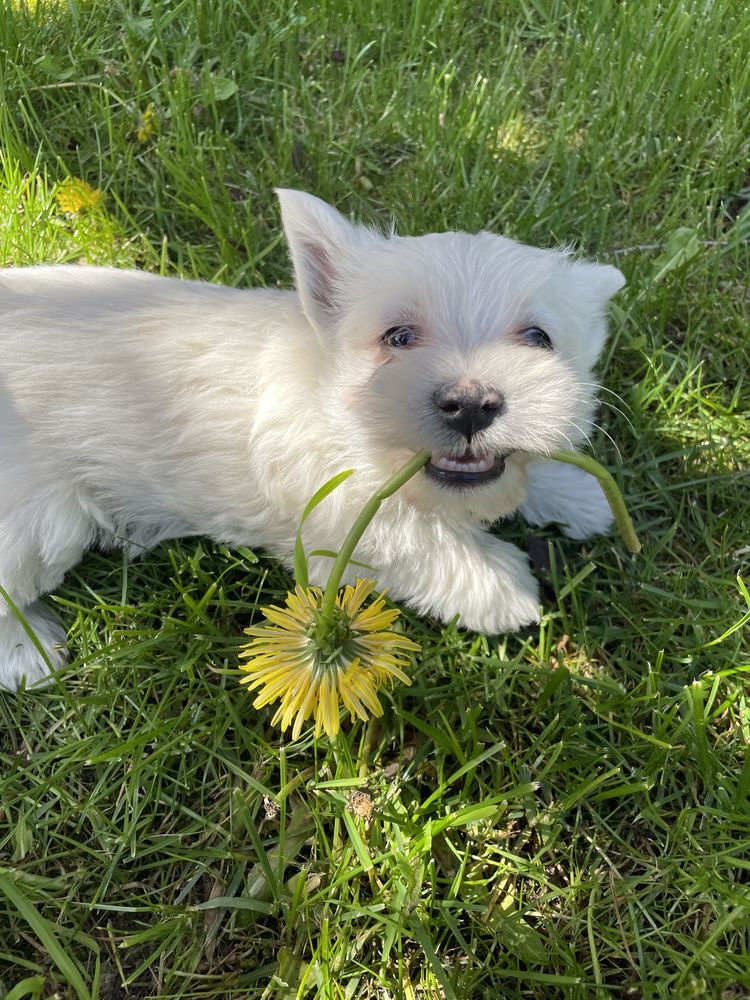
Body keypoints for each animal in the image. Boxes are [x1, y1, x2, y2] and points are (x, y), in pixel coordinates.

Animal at [0, 189, 624, 688]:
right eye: (398, 337)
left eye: (538, 338)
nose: (470, 403)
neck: (339, 408)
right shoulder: (338, 518)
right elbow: (421, 540)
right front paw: (502, 585)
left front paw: (576, 493)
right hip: (41, 519)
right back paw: (29, 652)